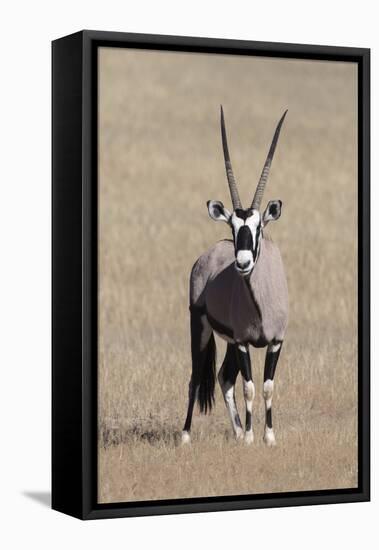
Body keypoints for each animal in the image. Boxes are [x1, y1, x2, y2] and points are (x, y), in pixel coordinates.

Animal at [183, 106, 290, 448]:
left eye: (259, 227)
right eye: (233, 226)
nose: (242, 262)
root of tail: (208, 254)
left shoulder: (275, 341)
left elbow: (266, 386)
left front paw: (267, 436)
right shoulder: (243, 342)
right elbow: (250, 387)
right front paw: (251, 438)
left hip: (227, 339)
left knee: (223, 376)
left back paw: (238, 429)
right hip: (200, 325)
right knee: (196, 376)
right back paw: (186, 435)